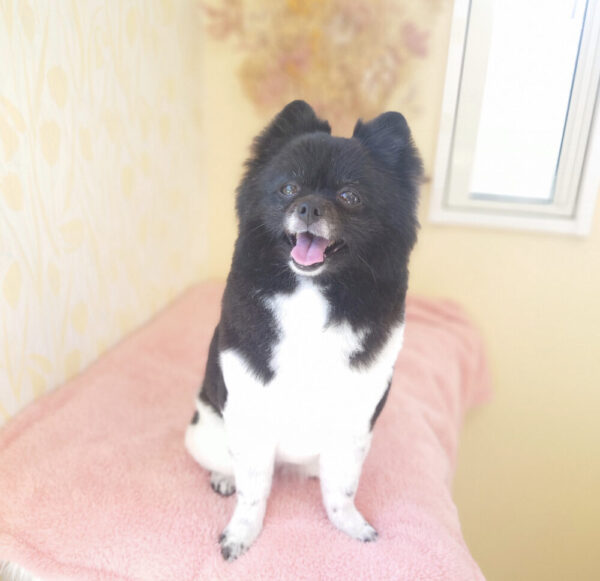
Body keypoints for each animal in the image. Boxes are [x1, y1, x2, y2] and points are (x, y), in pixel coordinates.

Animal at [185, 100, 422, 561]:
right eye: (288, 189)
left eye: (349, 197)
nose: (309, 207)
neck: (310, 293)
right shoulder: (250, 411)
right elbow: (253, 492)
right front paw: (242, 533)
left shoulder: (355, 418)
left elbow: (342, 488)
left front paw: (349, 524)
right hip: (205, 432)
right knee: (228, 465)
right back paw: (224, 478)